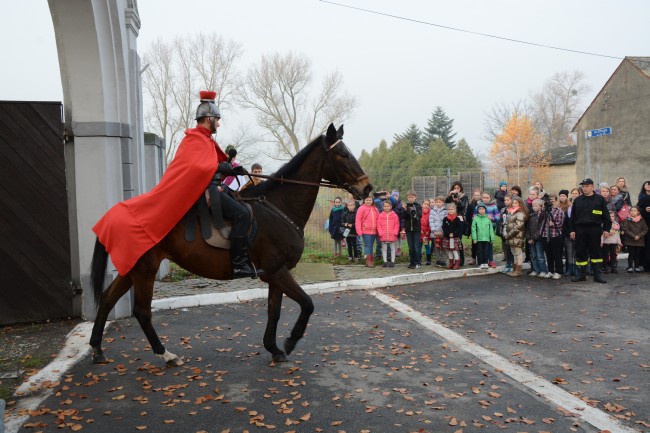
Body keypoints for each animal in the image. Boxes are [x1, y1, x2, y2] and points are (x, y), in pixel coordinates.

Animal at [90, 124, 372, 364]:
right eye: (343, 155)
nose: (367, 188)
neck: (279, 207)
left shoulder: (275, 274)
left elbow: (274, 311)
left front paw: (273, 348)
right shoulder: (276, 272)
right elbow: (307, 304)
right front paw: (290, 341)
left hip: (132, 269)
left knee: (107, 299)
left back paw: (97, 349)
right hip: (145, 269)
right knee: (142, 311)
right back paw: (166, 354)